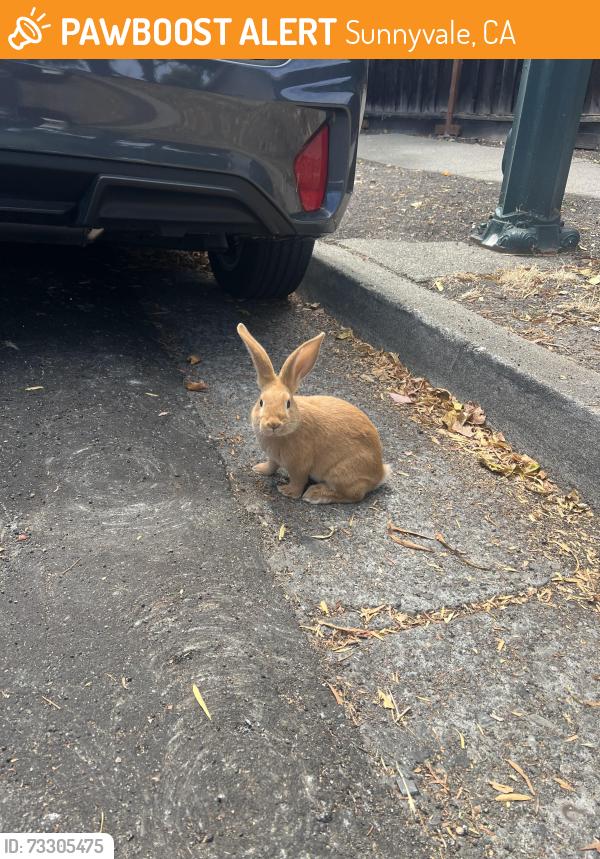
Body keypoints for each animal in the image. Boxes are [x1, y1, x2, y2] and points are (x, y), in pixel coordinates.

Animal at [237, 323, 390, 504]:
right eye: (261, 402)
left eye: (288, 403)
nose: (273, 424)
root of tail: (379, 474)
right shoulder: (273, 458)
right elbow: (271, 466)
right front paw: (259, 469)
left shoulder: (299, 465)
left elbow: (298, 481)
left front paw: (288, 492)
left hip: (341, 472)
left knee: (353, 495)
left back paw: (315, 494)